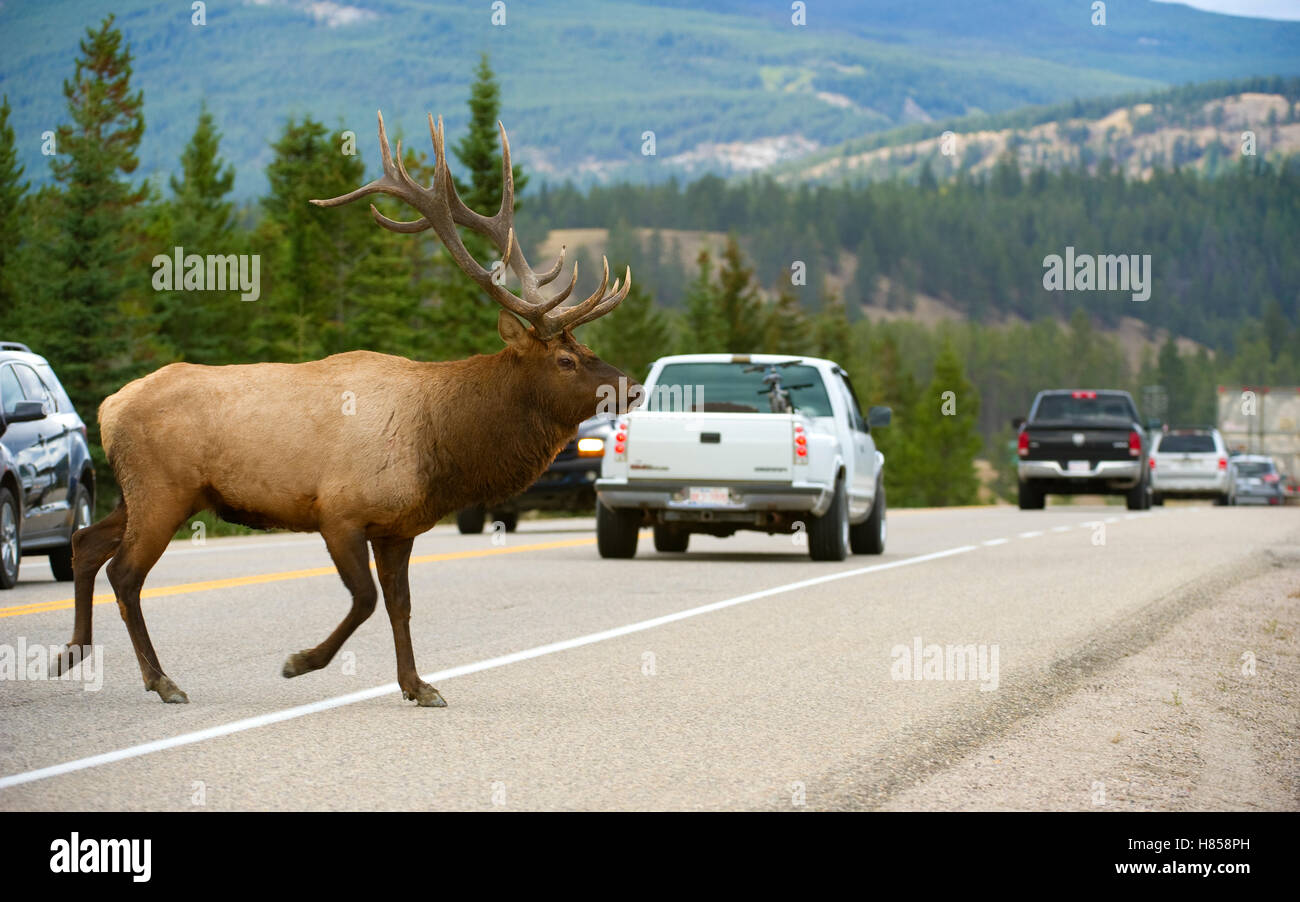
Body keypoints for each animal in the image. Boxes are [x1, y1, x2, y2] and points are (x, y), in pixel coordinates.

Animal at [61, 111, 638, 707]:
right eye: (566, 359)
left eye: (586, 349)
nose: (633, 385)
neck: (442, 448)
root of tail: (107, 407)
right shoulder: (339, 511)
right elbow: (365, 599)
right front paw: (300, 661)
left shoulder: (398, 527)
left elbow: (400, 605)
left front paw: (418, 686)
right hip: (163, 492)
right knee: (125, 572)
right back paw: (161, 680)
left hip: (142, 493)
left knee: (86, 542)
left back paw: (74, 652)